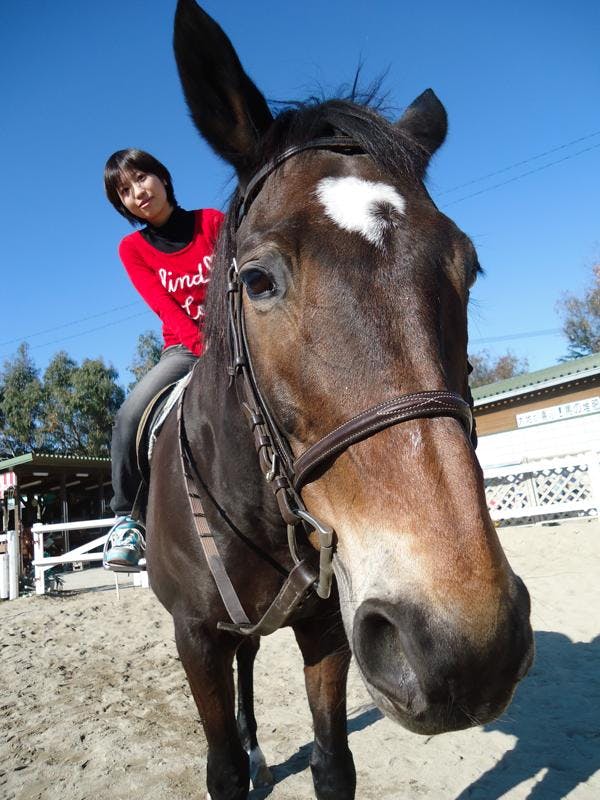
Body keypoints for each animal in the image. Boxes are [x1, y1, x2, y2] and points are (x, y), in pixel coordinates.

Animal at [146, 3, 536, 796]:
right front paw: (238, 758)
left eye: (470, 265)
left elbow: (333, 764)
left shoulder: (330, 632)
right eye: (257, 280)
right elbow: (221, 771)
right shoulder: (194, 638)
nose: (465, 647)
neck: (255, 510)